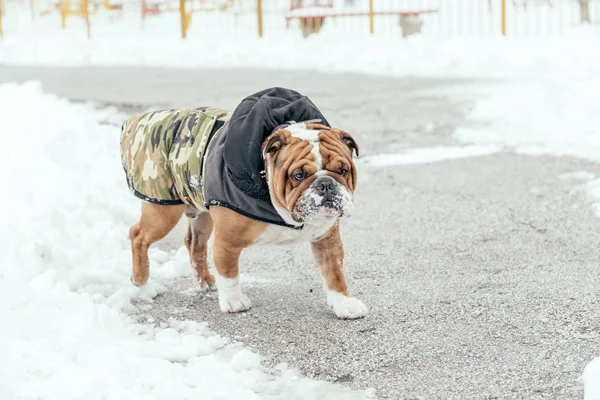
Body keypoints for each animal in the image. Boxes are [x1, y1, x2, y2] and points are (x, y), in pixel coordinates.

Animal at [119, 86, 366, 318]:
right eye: (298, 175)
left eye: (343, 170)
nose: (325, 184)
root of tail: (138, 119)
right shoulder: (227, 240)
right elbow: (229, 272)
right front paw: (234, 301)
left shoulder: (326, 239)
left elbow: (334, 271)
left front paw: (344, 302)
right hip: (162, 212)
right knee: (138, 235)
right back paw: (141, 283)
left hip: (202, 215)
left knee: (194, 243)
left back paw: (205, 281)